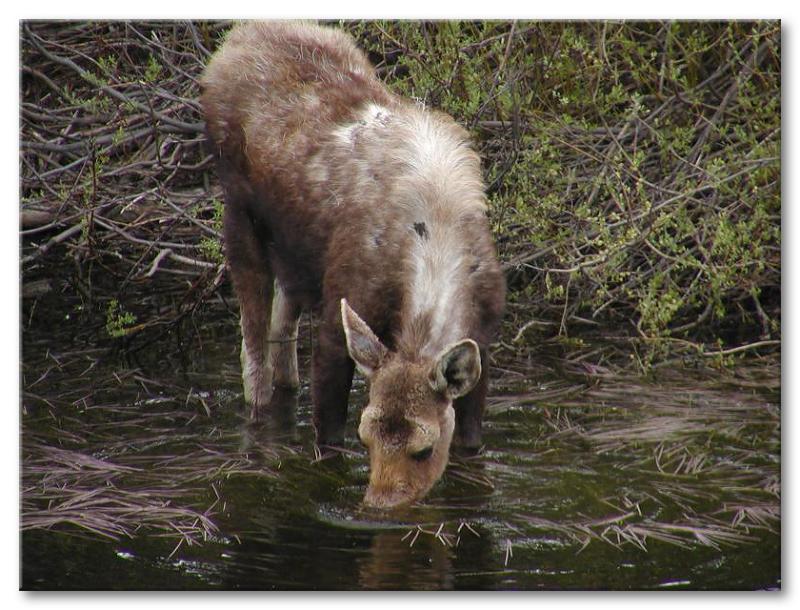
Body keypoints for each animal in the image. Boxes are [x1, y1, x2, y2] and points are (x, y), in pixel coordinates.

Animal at [202, 20, 506, 504]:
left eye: (425, 448)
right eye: (366, 437)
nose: (379, 505)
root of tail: (237, 36)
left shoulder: (485, 336)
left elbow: (472, 443)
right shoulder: (338, 318)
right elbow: (328, 440)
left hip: (297, 250)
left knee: (281, 321)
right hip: (237, 209)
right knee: (253, 348)